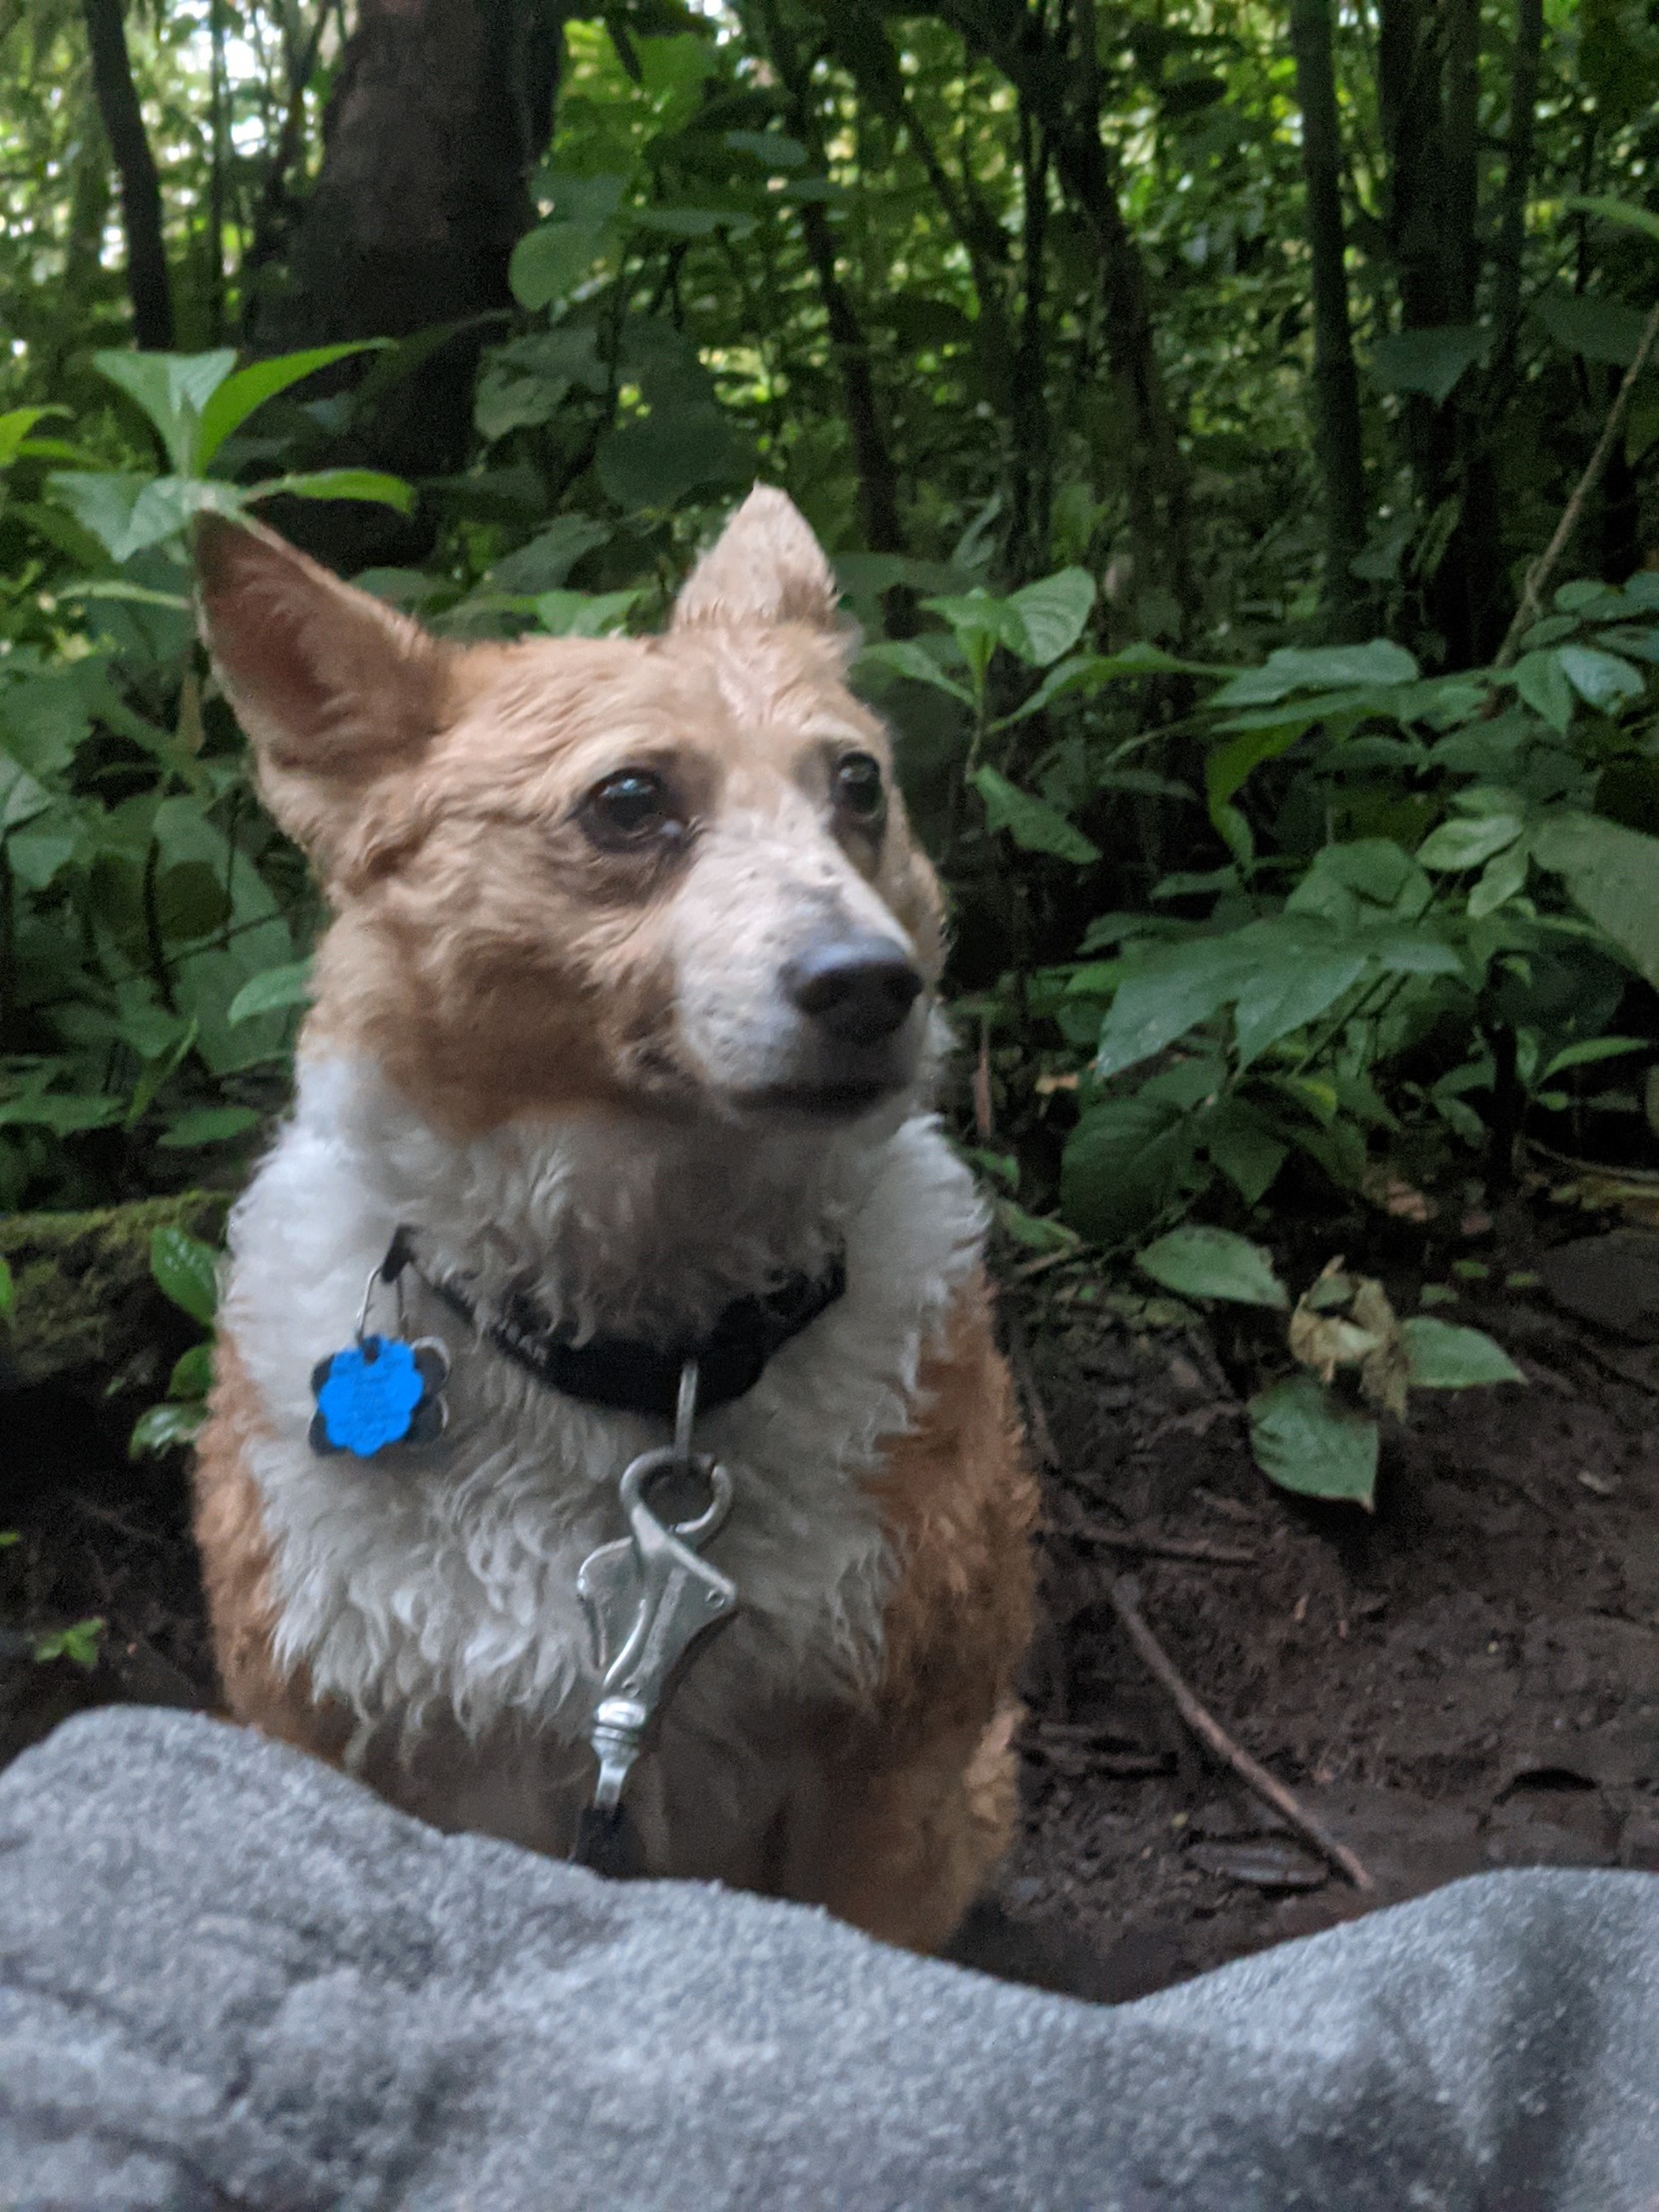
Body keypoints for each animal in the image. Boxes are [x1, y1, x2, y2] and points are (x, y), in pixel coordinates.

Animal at [188, 493, 1035, 1946]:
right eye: (629, 800)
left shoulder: (889, 1772)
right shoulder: (319, 1734)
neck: (643, 1348)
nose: (874, 984)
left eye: (856, 786)